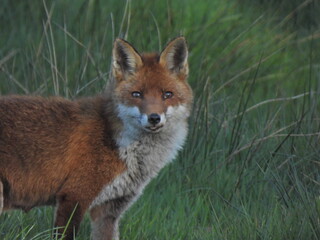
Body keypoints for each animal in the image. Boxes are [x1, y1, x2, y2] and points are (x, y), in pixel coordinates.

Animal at [0, 36, 192, 239]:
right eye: (137, 94)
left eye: (167, 94)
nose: (154, 118)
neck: (120, 146)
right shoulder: (74, 196)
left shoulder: (108, 210)